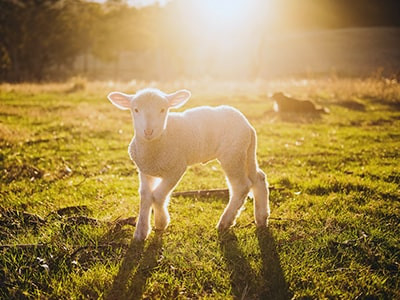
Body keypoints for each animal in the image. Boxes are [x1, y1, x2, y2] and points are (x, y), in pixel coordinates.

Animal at [107, 88, 268, 240]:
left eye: (163, 109)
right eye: (135, 109)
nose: (148, 131)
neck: (160, 139)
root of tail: (248, 126)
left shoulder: (176, 168)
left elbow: (157, 196)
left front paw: (161, 222)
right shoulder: (145, 171)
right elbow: (145, 196)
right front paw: (141, 232)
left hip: (232, 155)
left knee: (241, 186)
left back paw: (225, 222)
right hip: (245, 153)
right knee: (258, 178)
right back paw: (261, 218)